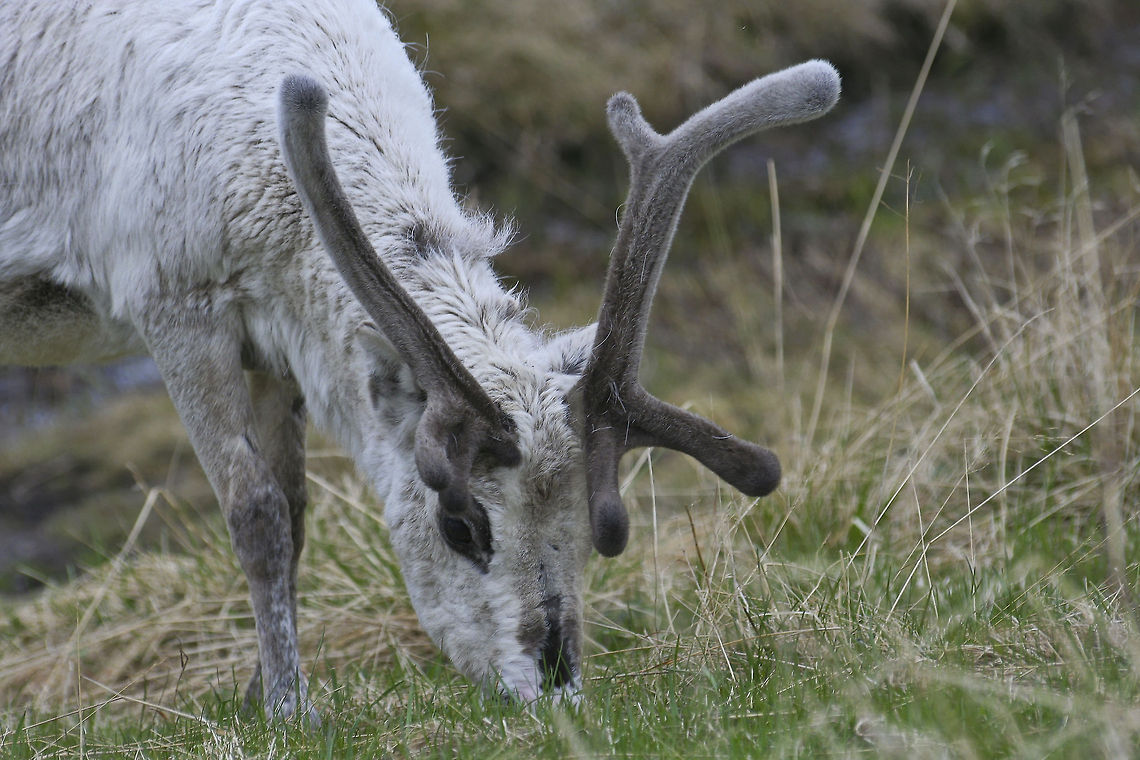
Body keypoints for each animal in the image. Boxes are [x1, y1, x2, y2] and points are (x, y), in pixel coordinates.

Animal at [0, 0, 839, 720]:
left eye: (589, 524)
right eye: (460, 526)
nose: (553, 687)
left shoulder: (279, 338)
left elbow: (295, 512)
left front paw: (258, 694)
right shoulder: (172, 300)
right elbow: (255, 512)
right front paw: (291, 711)